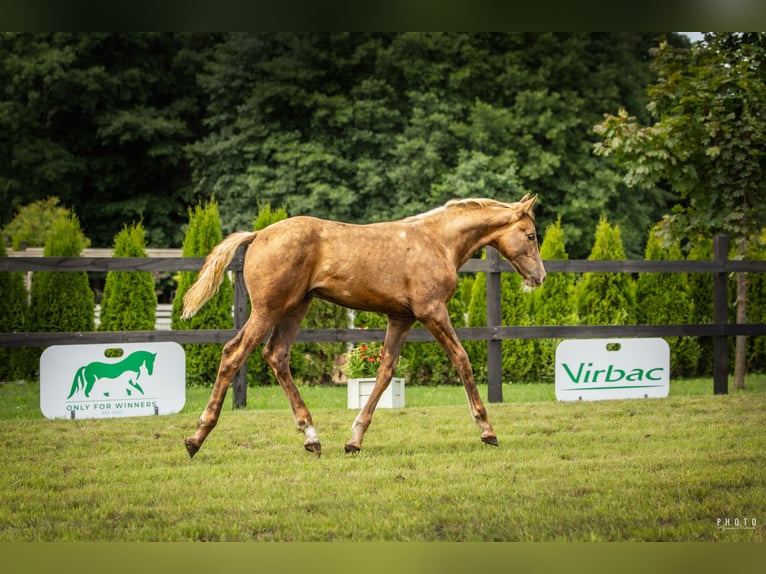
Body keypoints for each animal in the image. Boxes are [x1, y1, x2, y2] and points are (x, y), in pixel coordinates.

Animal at [182, 194, 545, 458]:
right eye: (530, 235)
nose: (539, 277)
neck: (438, 241)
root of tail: (259, 234)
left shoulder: (402, 318)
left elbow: (385, 371)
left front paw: (354, 439)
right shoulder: (432, 311)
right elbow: (462, 360)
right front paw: (488, 431)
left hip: (295, 308)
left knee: (276, 355)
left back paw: (311, 437)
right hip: (268, 310)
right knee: (234, 352)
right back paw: (196, 437)